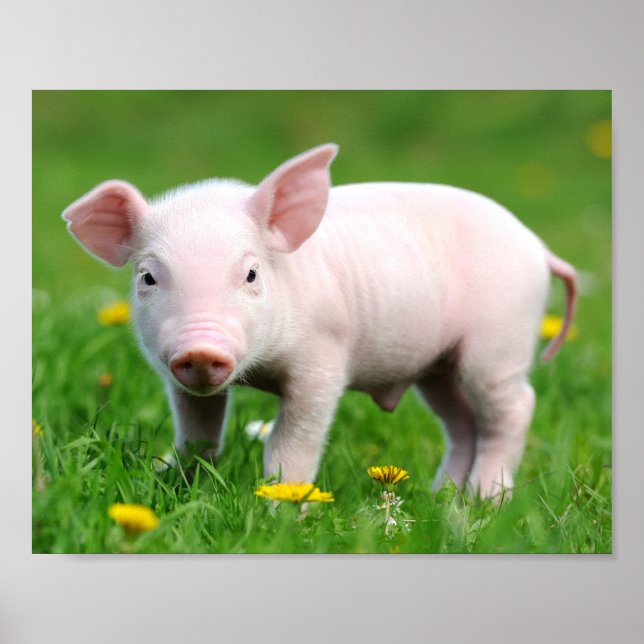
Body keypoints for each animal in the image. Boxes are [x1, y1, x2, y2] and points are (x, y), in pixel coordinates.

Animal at [62, 144, 577, 499]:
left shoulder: (323, 360)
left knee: (515, 407)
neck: (259, 369)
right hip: (438, 367)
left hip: (499, 342)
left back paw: (485, 500)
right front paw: (173, 483)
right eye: (148, 276)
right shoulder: (180, 381)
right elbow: (197, 434)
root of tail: (539, 248)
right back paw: (440, 499)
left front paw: (281, 508)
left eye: (251, 274)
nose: (201, 348)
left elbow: (291, 444)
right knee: (463, 423)